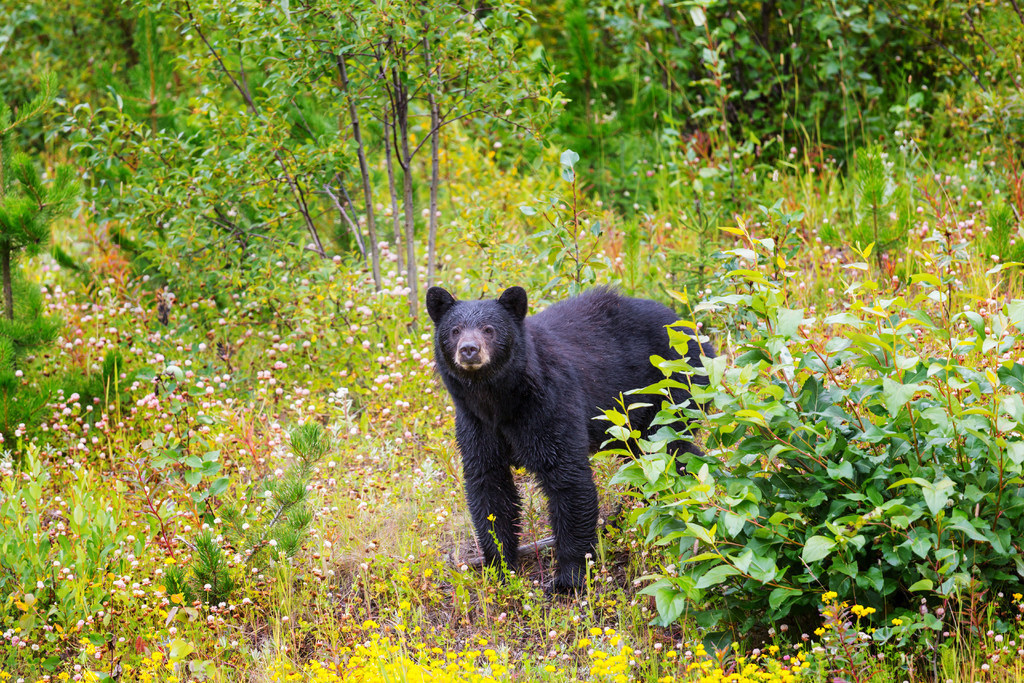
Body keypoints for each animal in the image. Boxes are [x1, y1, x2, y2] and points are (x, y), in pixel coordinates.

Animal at [423, 282, 712, 593]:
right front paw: (499, 567)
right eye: (455, 330)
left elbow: (566, 478)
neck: (498, 400)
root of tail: (691, 329)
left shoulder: (549, 403)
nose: (469, 349)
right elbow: (488, 486)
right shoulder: (476, 423)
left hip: (671, 388)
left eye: (489, 329)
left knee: (667, 450)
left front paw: (568, 577)